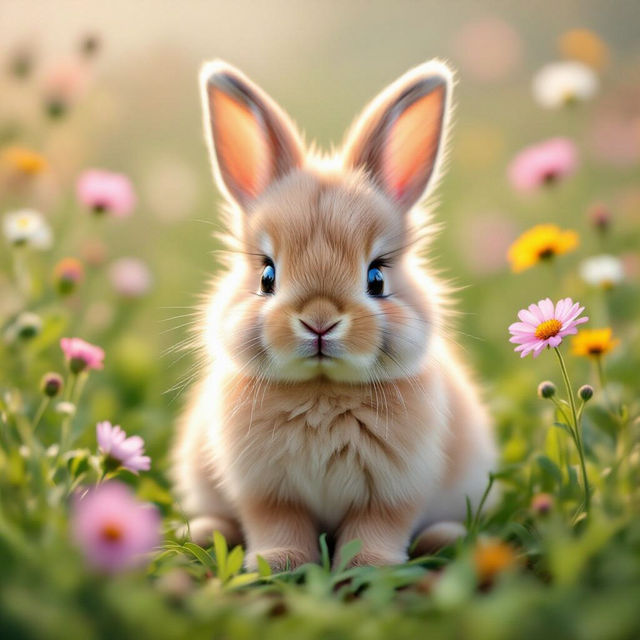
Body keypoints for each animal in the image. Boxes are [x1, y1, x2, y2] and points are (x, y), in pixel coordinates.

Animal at [171, 59, 497, 572]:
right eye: (267, 276)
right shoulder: (266, 493)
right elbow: (277, 524)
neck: (321, 391)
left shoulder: (391, 493)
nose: (319, 321)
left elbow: (375, 529)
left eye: (376, 278)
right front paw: (278, 562)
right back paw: (204, 532)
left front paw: (368, 568)